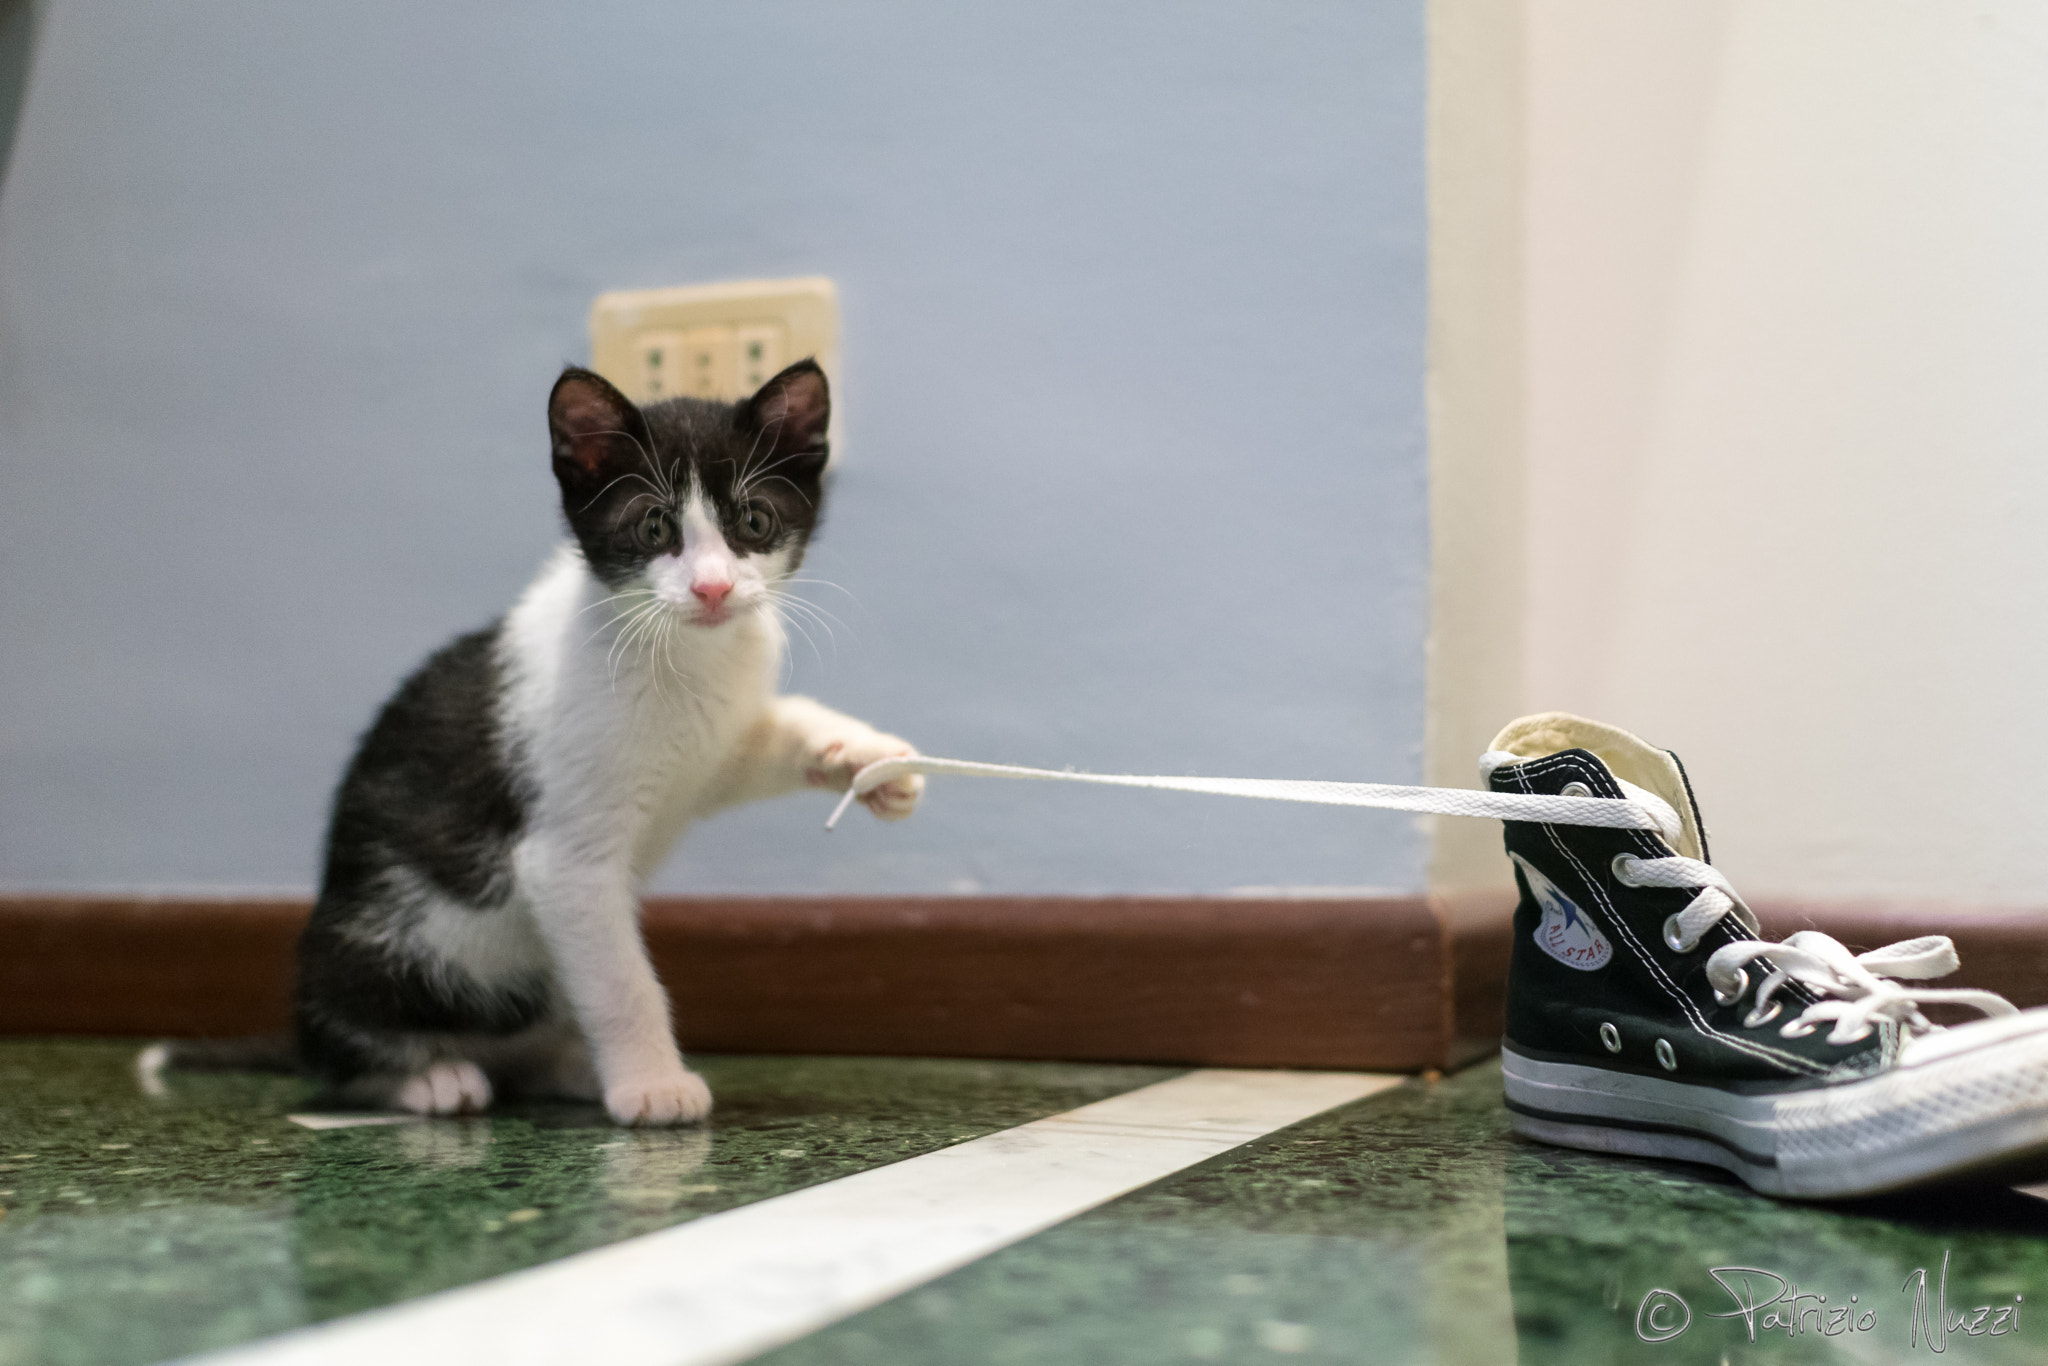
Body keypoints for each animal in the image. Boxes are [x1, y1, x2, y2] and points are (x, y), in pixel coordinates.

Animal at [290, 360, 921, 1122]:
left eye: (753, 520)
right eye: (653, 525)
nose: (712, 589)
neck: (684, 655)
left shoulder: (709, 752)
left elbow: (758, 739)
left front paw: (866, 758)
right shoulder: (565, 862)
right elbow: (621, 981)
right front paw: (652, 1086)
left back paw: (565, 1066)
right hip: (379, 948)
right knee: (338, 1044)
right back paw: (427, 1078)